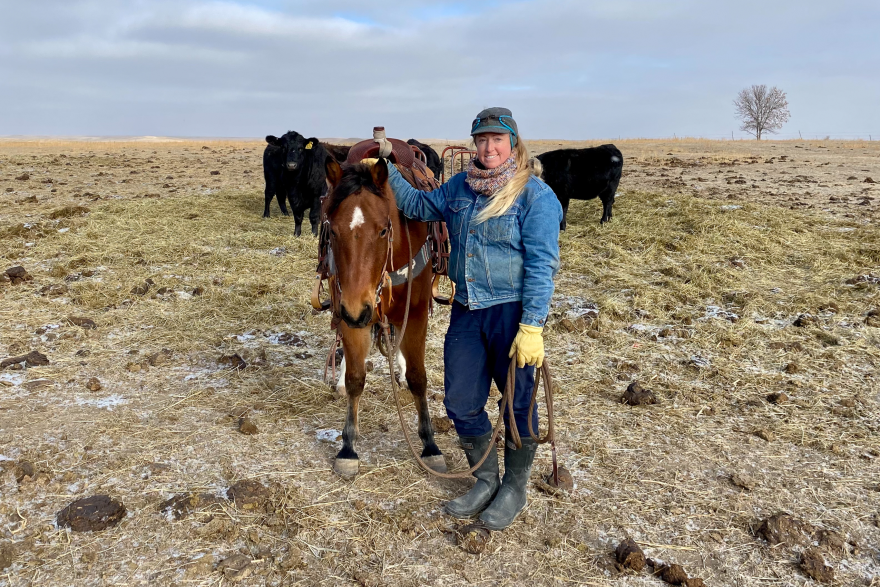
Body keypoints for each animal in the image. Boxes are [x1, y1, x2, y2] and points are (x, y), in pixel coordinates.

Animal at [324, 157, 446, 478]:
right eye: (333, 231)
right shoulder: (350, 311)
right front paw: (348, 447)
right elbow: (356, 378)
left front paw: (430, 445)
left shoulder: (415, 314)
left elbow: (418, 377)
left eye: (382, 231)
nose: (357, 310)